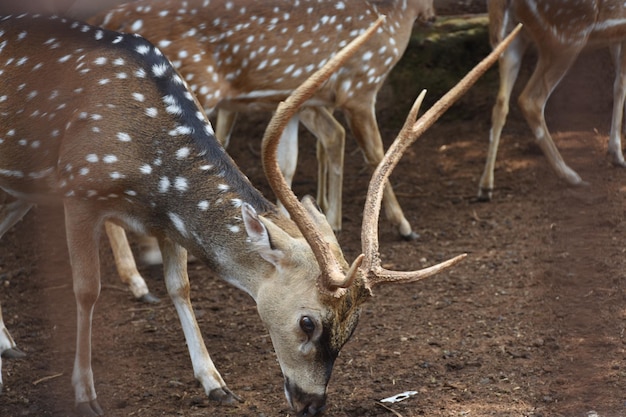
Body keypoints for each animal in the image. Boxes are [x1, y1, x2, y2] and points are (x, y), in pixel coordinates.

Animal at [0, 11, 520, 416]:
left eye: (354, 327)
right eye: (307, 322)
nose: (312, 404)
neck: (149, 163)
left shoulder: (165, 217)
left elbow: (180, 287)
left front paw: (216, 384)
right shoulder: (78, 190)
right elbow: (86, 291)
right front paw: (84, 394)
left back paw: (9, 345)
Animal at [478, 0, 626, 202]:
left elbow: (618, 85)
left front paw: (616, 154)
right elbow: (622, 84)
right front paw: (619, 155)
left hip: (510, 39)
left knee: (500, 103)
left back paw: (485, 187)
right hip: (566, 37)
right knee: (530, 100)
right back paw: (570, 175)